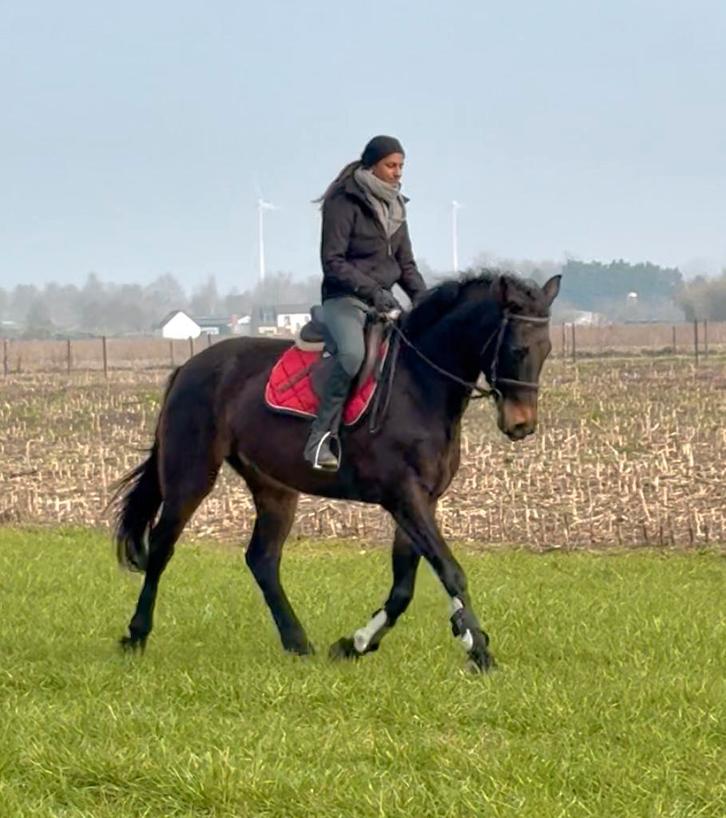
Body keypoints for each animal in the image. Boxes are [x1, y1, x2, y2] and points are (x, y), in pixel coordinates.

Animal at [114, 270, 561, 672]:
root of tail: (187, 368)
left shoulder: (420, 501)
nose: (522, 425)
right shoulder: (404, 497)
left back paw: (298, 642)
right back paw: (136, 634)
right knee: (162, 546)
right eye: (518, 349)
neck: (420, 384)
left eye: (547, 349)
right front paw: (478, 649)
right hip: (191, 476)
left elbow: (403, 587)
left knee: (262, 559)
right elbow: (450, 571)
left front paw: (355, 644)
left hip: (274, 488)